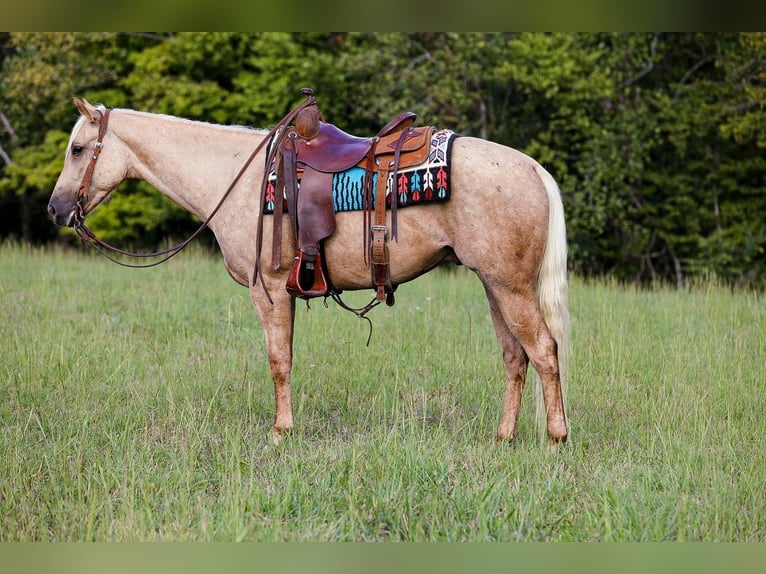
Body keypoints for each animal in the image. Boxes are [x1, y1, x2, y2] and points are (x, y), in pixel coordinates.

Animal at [47, 97, 570, 446]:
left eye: (77, 149)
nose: (55, 209)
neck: (235, 176)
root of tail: (533, 168)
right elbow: (287, 358)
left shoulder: (269, 290)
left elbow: (279, 361)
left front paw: (281, 431)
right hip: (494, 286)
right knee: (515, 358)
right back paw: (504, 437)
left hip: (510, 288)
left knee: (544, 351)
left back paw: (555, 438)